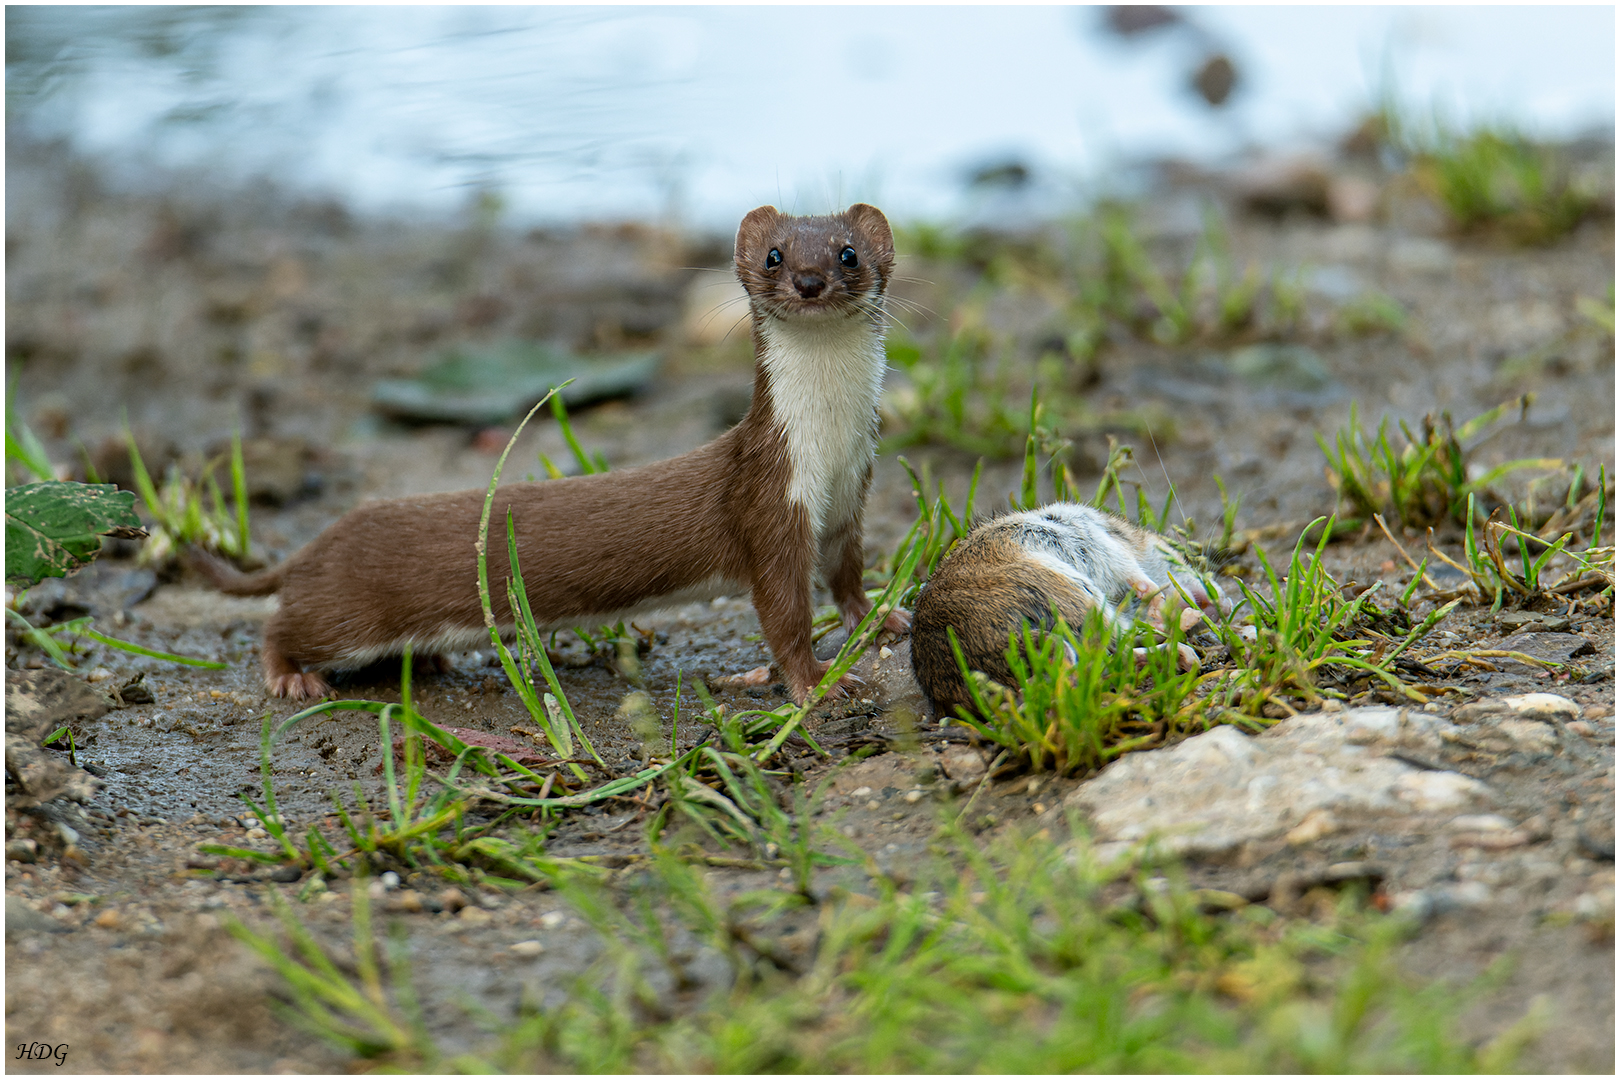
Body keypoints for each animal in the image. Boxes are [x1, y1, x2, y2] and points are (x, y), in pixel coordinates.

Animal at [194, 204, 907, 702]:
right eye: (775, 256)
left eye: (847, 253)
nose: (810, 281)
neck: (828, 445)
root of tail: (318, 542)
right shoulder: (769, 502)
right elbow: (783, 612)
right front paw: (818, 682)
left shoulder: (851, 494)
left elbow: (846, 573)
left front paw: (882, 618)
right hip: (345, 612)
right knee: (281, 627)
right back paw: (290, 677)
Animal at [913, 505, 1224, 722]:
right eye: (1178, 553)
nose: (1223, 603)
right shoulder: (1102, 542)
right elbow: (1139, 577)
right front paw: (1158, 596)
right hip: (1070, 591)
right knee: (1116, 647)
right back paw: (1183, 632)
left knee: (1111, 656)